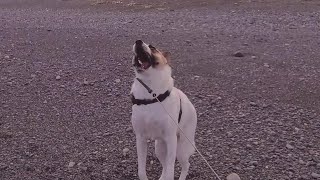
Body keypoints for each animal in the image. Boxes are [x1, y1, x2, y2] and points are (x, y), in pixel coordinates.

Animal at [130, 40, 198, 179]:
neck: (151, 94)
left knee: (185, 165)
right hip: (160, 148)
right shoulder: (140, 139)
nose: (138, 41)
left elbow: (170, 171)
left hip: (181, 149)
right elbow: (141, 171)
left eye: (152, 47)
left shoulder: (171, 139)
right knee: (165, 165)